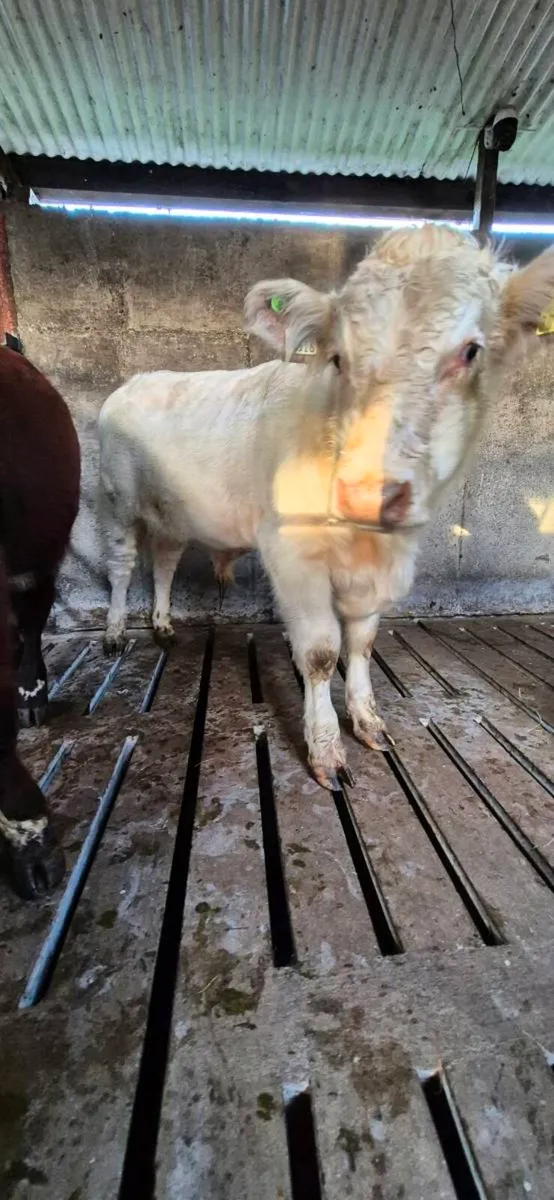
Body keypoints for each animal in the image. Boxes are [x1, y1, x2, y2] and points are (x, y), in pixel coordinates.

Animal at [98, 224, 554, 790]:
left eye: (471, 351)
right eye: (338, 357)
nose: (365, 492)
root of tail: (137, 381)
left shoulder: (377, 569)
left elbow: (361, 642)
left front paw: (368, 720)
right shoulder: (291, 553)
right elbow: (319, 651)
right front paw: (326, 749)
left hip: (174, 514)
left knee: (164, 561)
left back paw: (162, 624)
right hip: (116, 500)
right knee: (121, 567)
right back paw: (116, 632)